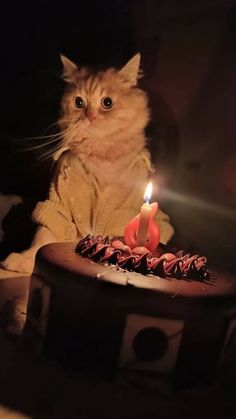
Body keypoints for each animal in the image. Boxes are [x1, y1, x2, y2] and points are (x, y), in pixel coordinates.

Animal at [0, 53, 174, 276]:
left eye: (107, 102)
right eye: (79, 102)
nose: (90, 116)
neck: (101, 152)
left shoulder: (124, 213)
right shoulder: (58, 205)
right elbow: (42, 237)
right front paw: (25, 260)